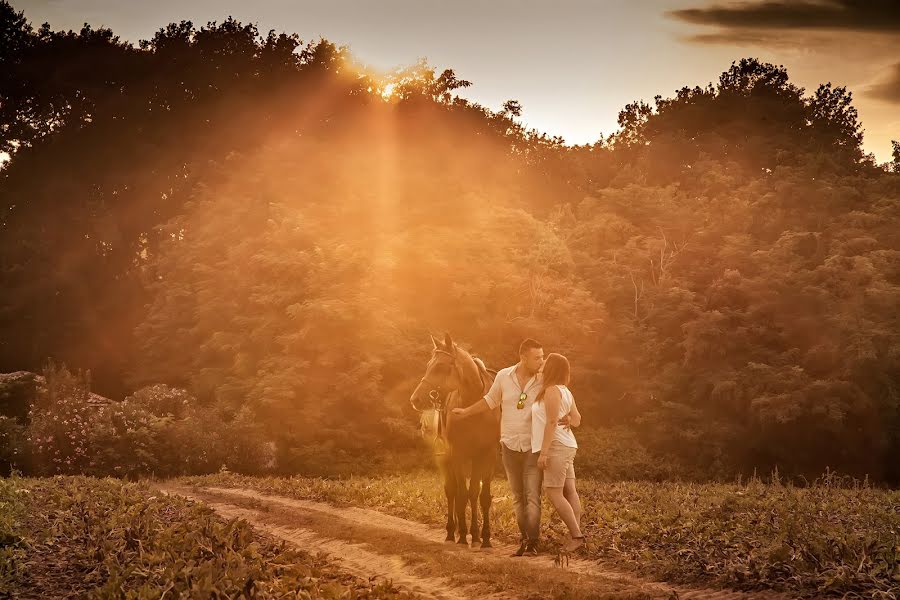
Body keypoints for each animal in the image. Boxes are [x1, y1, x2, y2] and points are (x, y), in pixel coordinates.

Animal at [410, 332, 500, 548]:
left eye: (441, 366)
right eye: (429, 365)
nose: (415, 399)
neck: (473, 408)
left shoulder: (486, 455)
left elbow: (480, 495)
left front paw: (483, 536)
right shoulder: (458, 454)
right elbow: (461, 494)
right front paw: (463, 535)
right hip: (445, 458)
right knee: (452, 491)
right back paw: (453, 531)